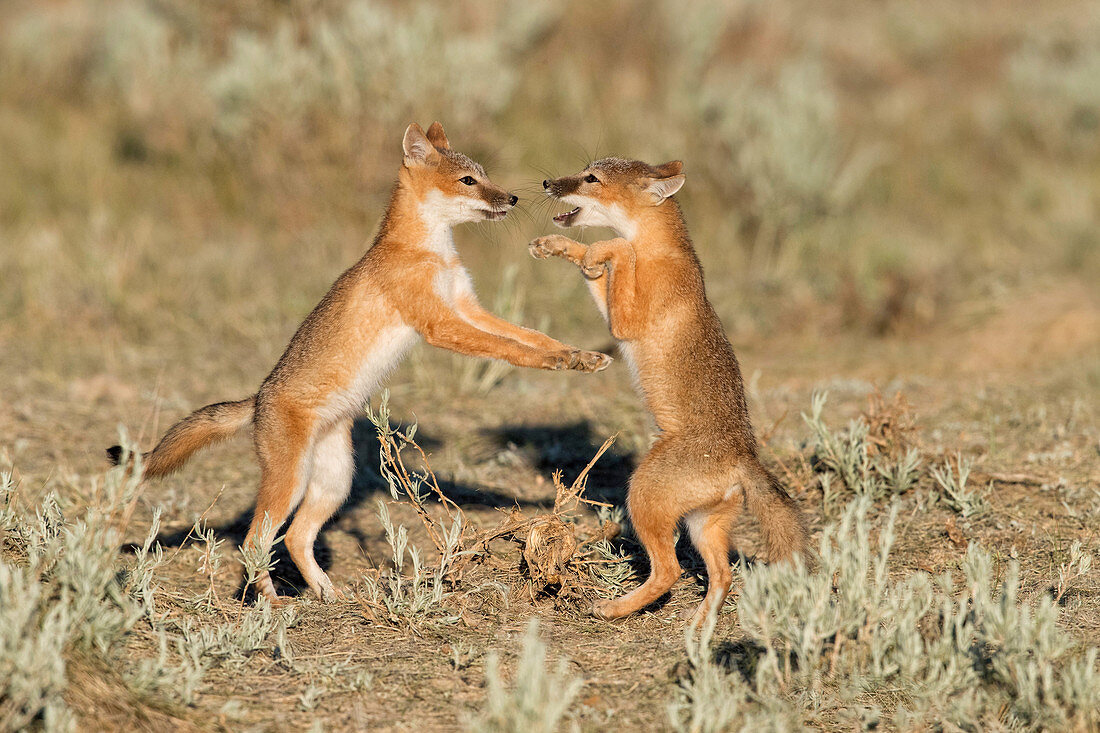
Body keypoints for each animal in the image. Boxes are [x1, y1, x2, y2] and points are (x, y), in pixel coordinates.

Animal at [108, 121, 611, 598]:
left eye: (485, 176)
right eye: (469, 181)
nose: (510, 197)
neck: (433, 253)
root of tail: (256, 400)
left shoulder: (468, 308)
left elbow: (531, 336)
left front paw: (578, 356)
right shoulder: (441, 325)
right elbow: (510, 350)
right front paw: (558, 363)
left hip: (335, 484)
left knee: (296, 539)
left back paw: (330, 596)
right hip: (290, 484)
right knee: (255, 542)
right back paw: (271, 603)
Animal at [530, 157, 809, 620]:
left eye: (591, 179)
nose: (549, 182)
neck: (656, 251)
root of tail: (744, 456)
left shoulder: (626, 323)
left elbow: (617, 248)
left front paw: (596, 252)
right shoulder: (614, 316)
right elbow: (599, 267)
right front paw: (564, 249)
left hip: (642, 495)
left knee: (670, 571)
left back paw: (614, 608)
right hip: (700, 525)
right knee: (722, 576)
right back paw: (698, 629)